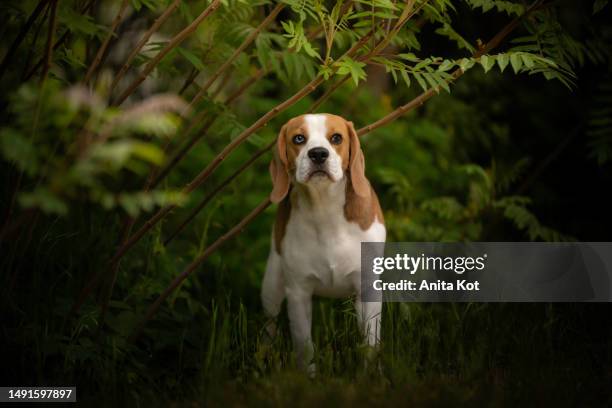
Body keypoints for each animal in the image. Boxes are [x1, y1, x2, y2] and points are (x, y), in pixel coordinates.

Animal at [260, 113, 384, 374]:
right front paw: (308, 377)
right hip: (271, 287)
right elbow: (305, 347)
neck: (324, 208)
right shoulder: (298, 293)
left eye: (336, 138)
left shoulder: (368, 290)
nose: (318, 154)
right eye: (298, 138)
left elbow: (370, 344)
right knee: (270, 324)